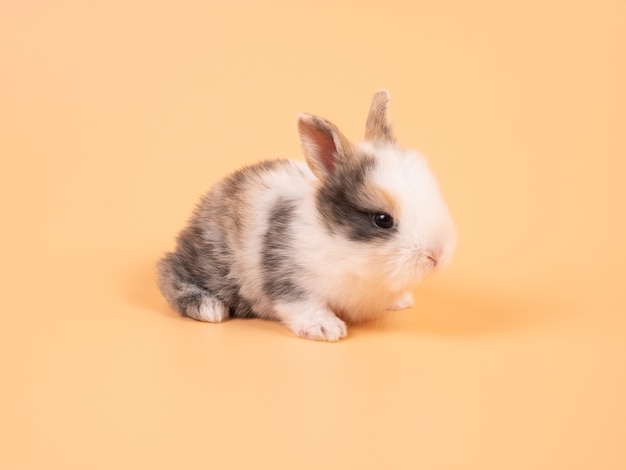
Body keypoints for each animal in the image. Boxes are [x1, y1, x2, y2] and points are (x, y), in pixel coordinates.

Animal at [158, 91, 456, 342]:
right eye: (382, 220)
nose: (437, 255)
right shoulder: (288, 277)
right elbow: (302, 304)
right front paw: (325, 328)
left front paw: (402, 299)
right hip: (211, 263)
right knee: (168, 269)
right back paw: (207, 306)